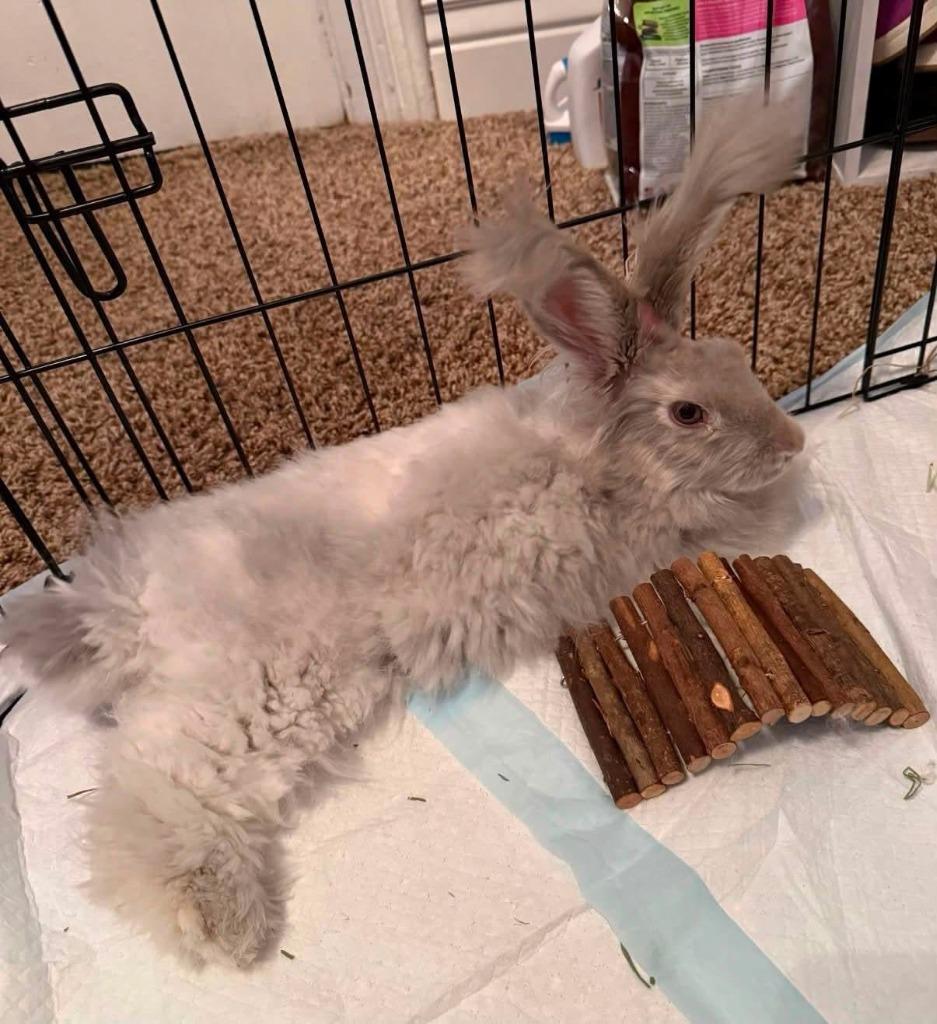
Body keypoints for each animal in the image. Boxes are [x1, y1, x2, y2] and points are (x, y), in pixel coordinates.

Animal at [0, 91, 807, 968]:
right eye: (687, 412)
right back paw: (223, 923)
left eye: (735, 358)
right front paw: (785, 500)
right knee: (154, 782)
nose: (791, 441)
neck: (597, 455)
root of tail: (124, 605)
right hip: (252, 693)